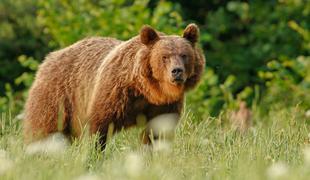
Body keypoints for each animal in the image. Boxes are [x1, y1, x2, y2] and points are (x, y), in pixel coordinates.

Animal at [24, 23, 206, 148]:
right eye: (165, 56)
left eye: (184, 55)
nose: (177, 71)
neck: (147, 90)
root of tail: (49, 58)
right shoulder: (115, 93)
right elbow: (98, 126)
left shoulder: (164, 106)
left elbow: (157, 132)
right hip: (58, 95)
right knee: (45, 128)